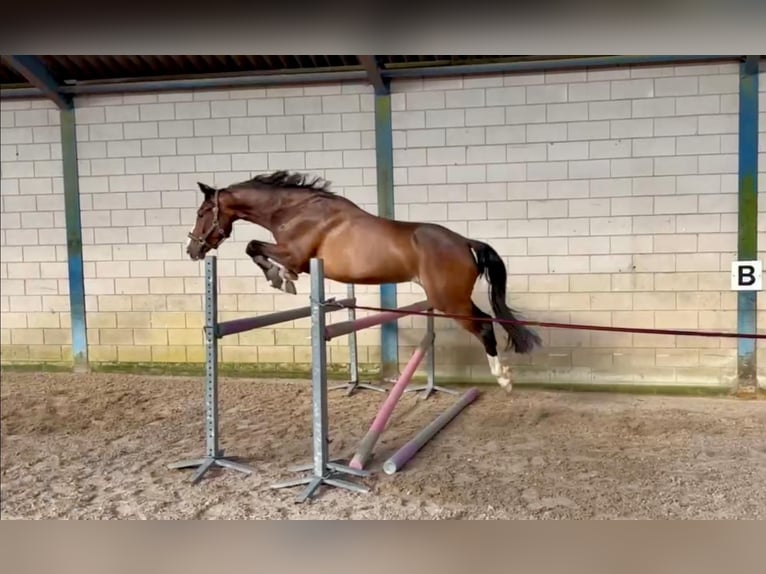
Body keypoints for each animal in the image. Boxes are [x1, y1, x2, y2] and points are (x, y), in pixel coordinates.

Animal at [187, 171, 544, 394]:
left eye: (203, 212)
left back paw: (503, 379)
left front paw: (281, 279)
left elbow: (254, 247)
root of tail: (464, 241)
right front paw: (283, 278)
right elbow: (256, 248)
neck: (295, 210)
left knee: (484, 327)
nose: (193, 249)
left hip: (449, 301)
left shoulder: (295, 255)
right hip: (453, 299)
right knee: (487, 321)